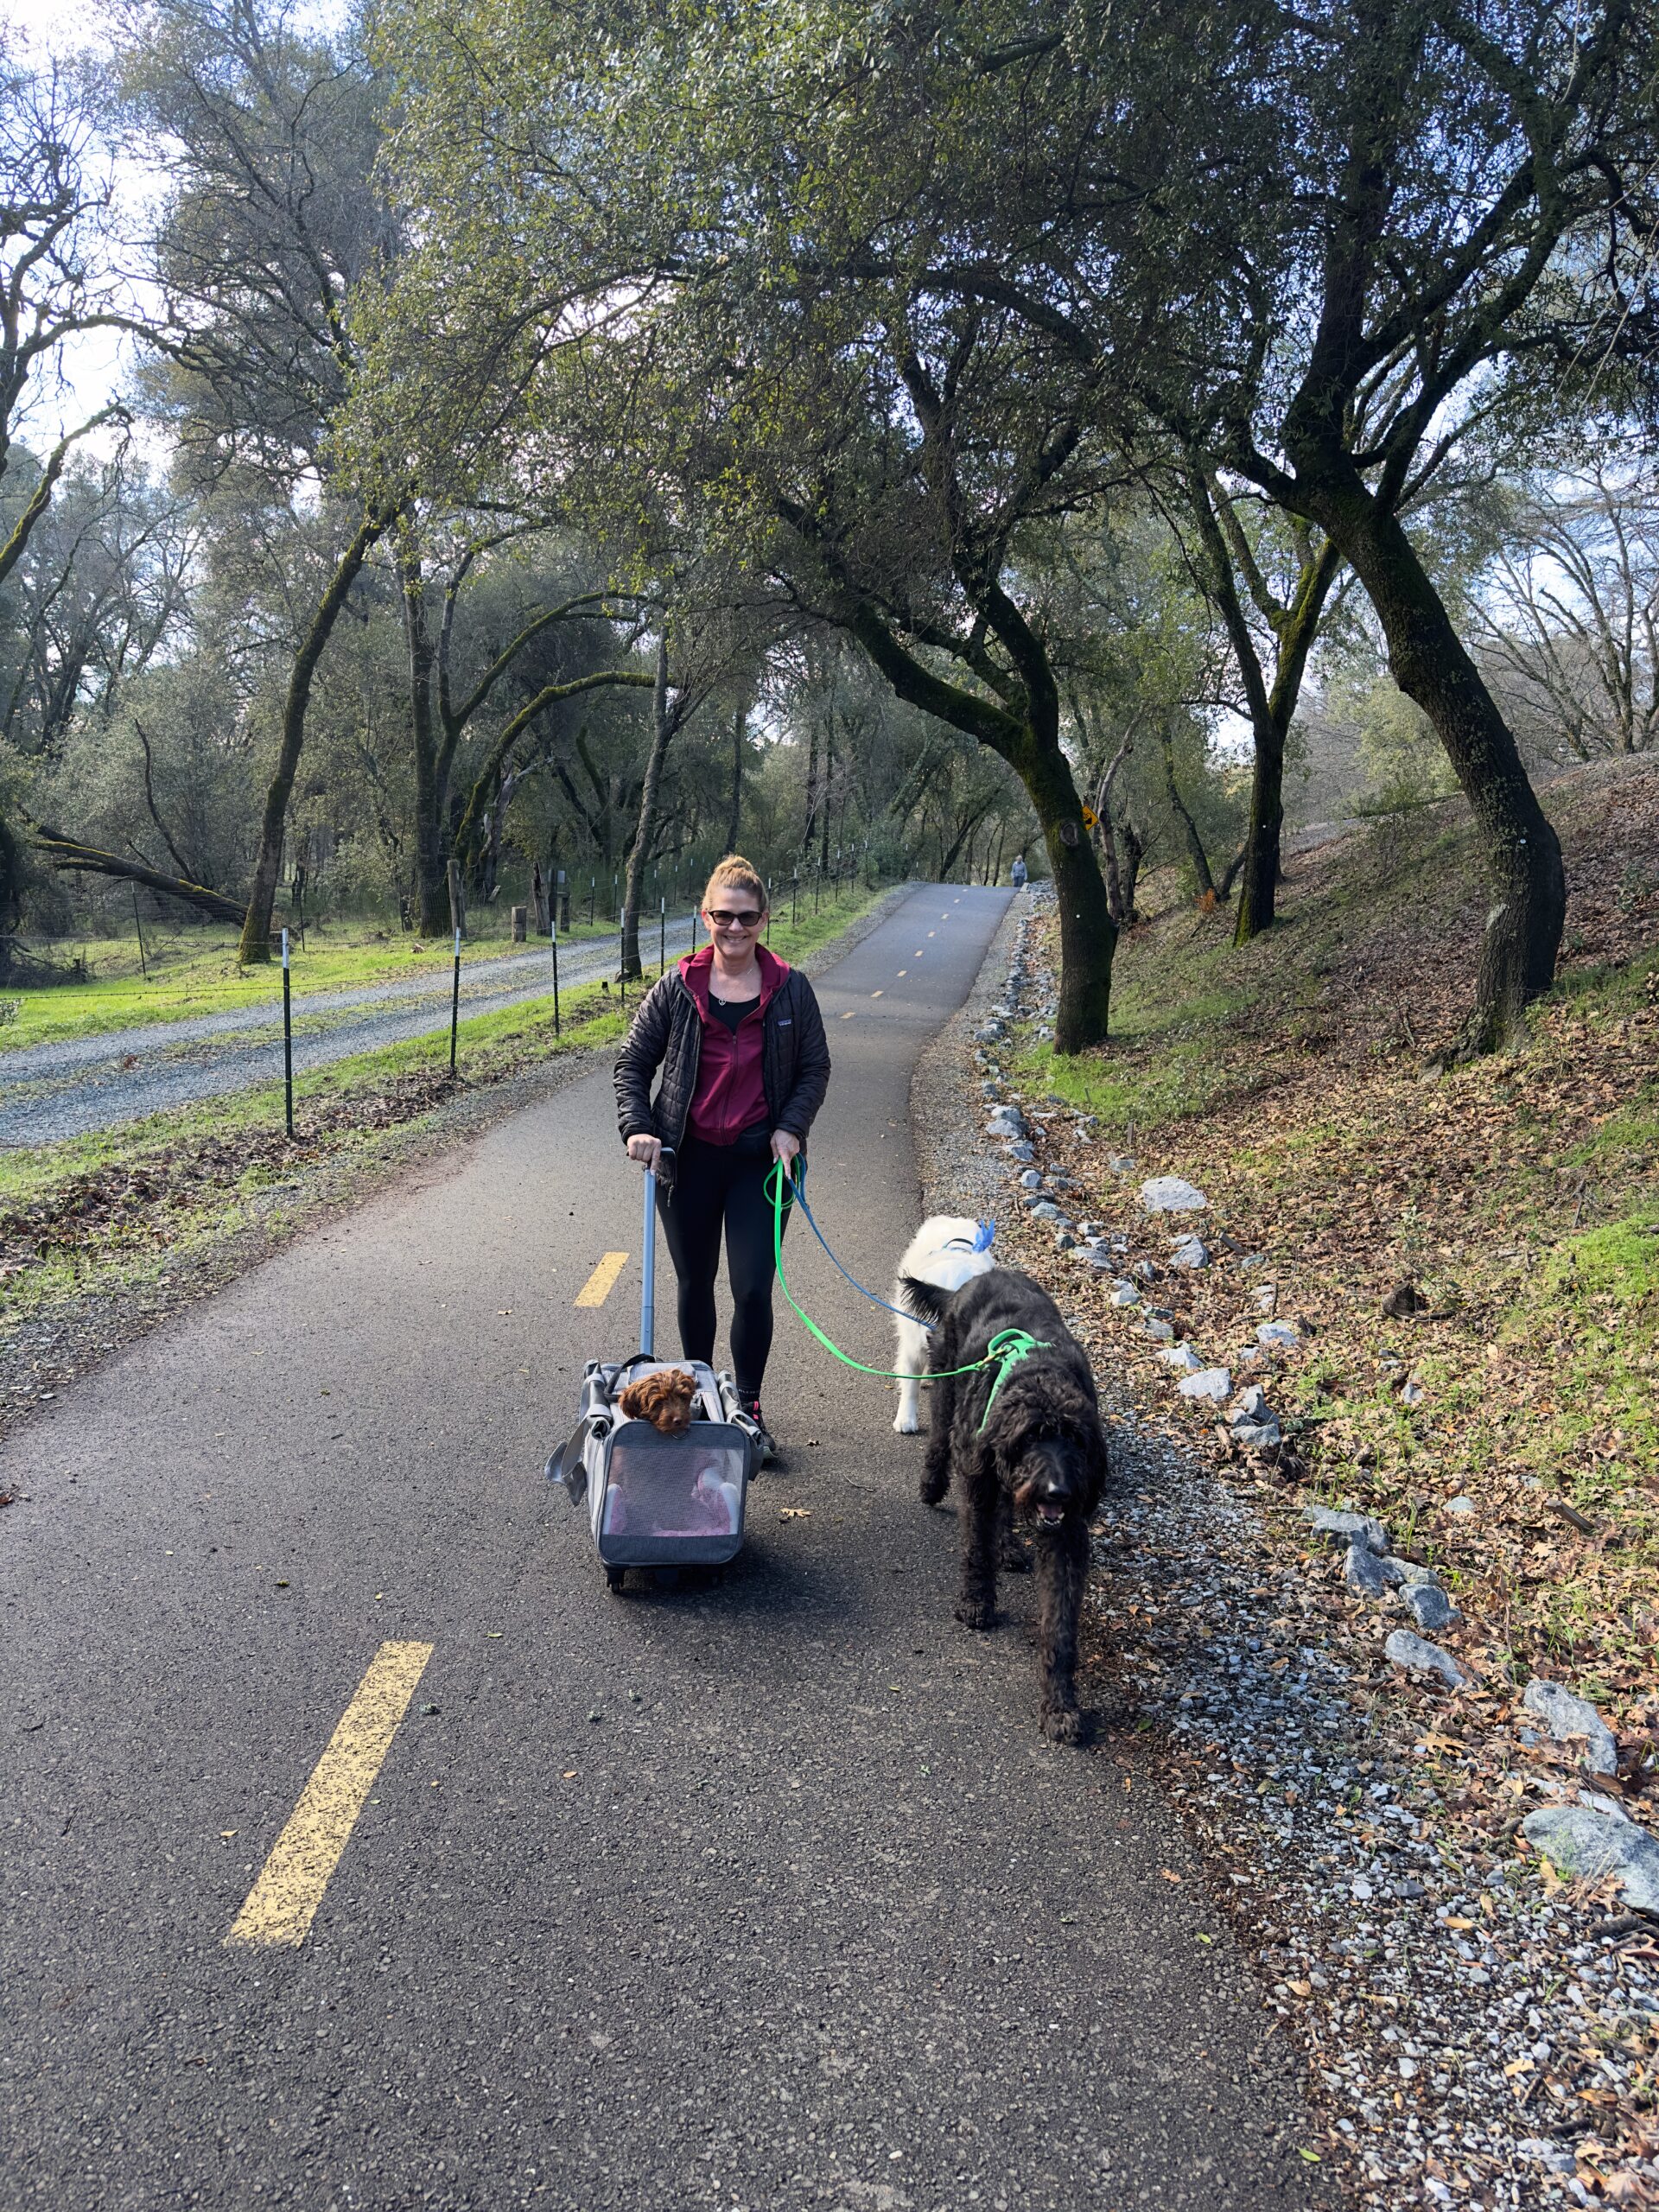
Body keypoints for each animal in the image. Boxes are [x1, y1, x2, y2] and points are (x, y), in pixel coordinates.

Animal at [902, 1265, 1110, 1743]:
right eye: (1030, 1437)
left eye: (1076, 1440)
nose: (1056, 1491)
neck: (1039, 1377)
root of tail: (977, 1278)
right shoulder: (979, 1480)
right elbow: (976, 1549)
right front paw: (977, 1603)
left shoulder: (1067, 1535)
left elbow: (1060, 1625)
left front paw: (1060, 1706)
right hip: (946, 1384)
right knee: (939, 1437)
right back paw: (932, 1485)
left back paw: (1010, 1546)